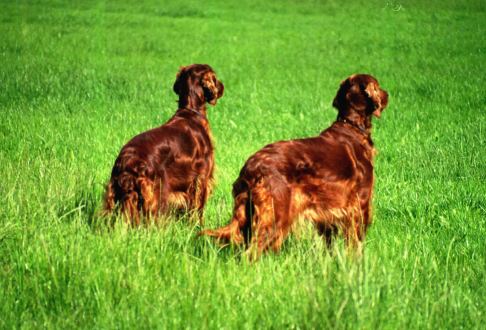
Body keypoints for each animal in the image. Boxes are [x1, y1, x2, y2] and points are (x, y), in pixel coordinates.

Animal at [104, 63, 224, 224]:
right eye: (215, 78)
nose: (222, 86)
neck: (190, 112)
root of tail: (126, 160)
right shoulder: (201, 180)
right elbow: (198, 211)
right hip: (156, 193)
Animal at [200, 74, 388, 258]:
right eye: (378, 86)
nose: (387, 94)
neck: (352, 127)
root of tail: (250, 167)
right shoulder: (360, 206)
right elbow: (357, 245)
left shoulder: (327, 217)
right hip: (275, 217)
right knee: (251, 253)